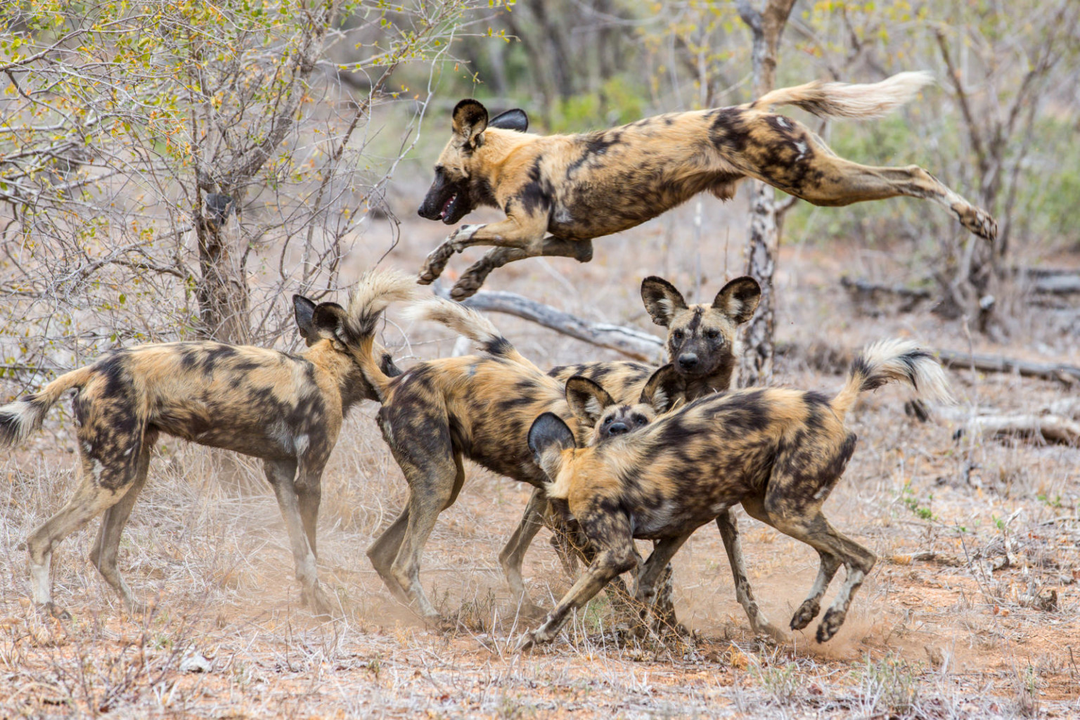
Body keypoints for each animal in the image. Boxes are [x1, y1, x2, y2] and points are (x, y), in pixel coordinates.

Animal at [0, 289, 403, 617]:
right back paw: (47, 609)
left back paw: (135, 606)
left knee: (102, 554)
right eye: (388, 360)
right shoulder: (310, 479)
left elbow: (301, 551)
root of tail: (93, 368)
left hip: (131, 475)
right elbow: (312, 548)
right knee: (40, 539)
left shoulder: (280, 474)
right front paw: (320, 603)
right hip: (112, 479)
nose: (399, 380)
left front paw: (308, 597)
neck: (323, 370)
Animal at [412, 71, 993, 300]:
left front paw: (433, 267)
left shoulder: (527, 227)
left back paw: (977, 219)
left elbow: (462, 236)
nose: (420, 209)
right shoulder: (572, 245)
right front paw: (466, 284)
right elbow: (496, 253)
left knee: (913, 175)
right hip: (818, 175)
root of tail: (754, 105)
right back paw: (978, 219)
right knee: (912, 174)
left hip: (816, 183)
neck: (506, 156)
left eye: (438, 173)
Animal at [522, 341, 954, 651]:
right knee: (833, 554)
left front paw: (538, 637)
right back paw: (805, 613)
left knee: (861, 556)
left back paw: (829, 622)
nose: (616, 431)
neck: (581, 466)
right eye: (608, 423)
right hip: (769, 507)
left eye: (638, 421)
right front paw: (640, 635)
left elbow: (571, 601)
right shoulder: (679, 528)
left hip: (785, 509)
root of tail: (831, 402)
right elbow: (645, 587)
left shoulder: (616, 552)